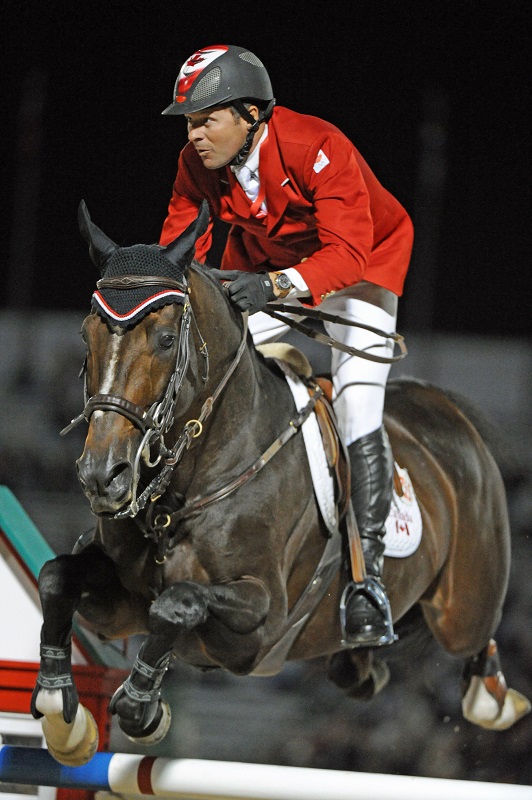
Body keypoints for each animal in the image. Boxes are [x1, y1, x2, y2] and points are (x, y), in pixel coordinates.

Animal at [30, 201, 530, 766]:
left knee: (477, 637)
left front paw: (141, 706)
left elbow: (178, 603)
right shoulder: (120, 605)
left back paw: (493, 698)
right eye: (85, 337)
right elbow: (57, 577)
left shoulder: (262, 621)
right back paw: (364, 664)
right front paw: (61, 714)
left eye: (165, 340)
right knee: (359, 666)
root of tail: (446, 411)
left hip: (464, 606)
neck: (187, 486)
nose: (103, 476)